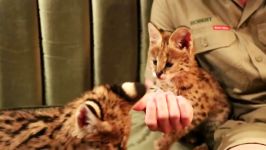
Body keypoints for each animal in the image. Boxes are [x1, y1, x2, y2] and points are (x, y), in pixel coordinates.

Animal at [148, 22, 231, 150]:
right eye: (154, 62)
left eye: (169, 64)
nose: (157, 74)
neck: (173, 82)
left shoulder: (197, 111)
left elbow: (179, 129)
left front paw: (163, 143)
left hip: (215, 121)